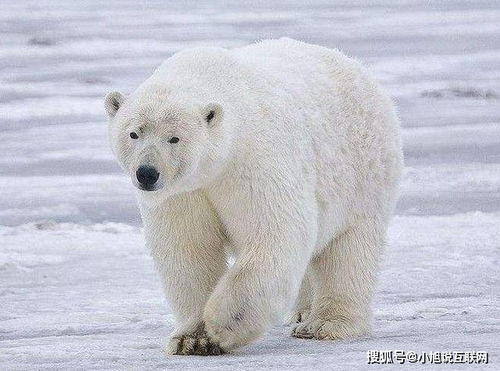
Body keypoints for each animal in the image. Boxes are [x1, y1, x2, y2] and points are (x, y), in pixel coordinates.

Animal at [104, 38, 402, 358]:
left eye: (174, 138)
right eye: (134, 133)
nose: (147, 173)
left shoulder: (253, 160)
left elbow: (274, 233)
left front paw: (222, 325)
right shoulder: (184, 192)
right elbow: (189, 249)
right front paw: (191, 339)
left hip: (362, 176)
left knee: (349, 251)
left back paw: (325, 324)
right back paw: (301, 312)